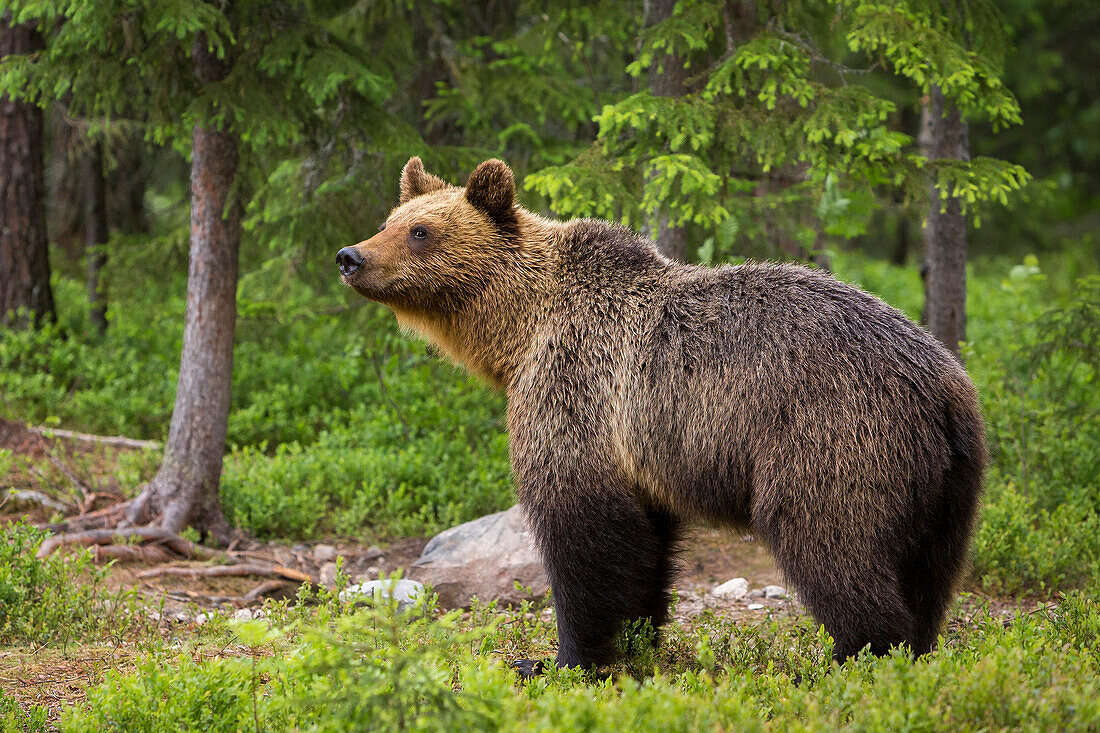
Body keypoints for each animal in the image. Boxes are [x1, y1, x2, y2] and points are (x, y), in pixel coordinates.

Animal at [334, 157, 990, 669]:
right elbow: (645, 545)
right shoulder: (640, 450)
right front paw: (638, 638)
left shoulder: (577, 395)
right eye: (389, 221)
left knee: (831, 545)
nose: (349, 255)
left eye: (421, 231)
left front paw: (561, 658)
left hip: (831, 439)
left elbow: (584, 536)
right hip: (948, 481)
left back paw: (862, 654)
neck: (518, 334)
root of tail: (941, 384)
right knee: (929, 571)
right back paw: (917, 646)